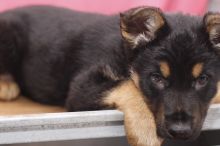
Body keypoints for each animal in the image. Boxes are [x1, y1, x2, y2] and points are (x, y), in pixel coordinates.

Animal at [0, 5, 220, 145]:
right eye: (157, 78)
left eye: (202, 80)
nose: (180, 132)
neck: (126, 55)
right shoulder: (81, 87)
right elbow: (127, 85)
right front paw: (145, 133)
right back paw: (7, 85)